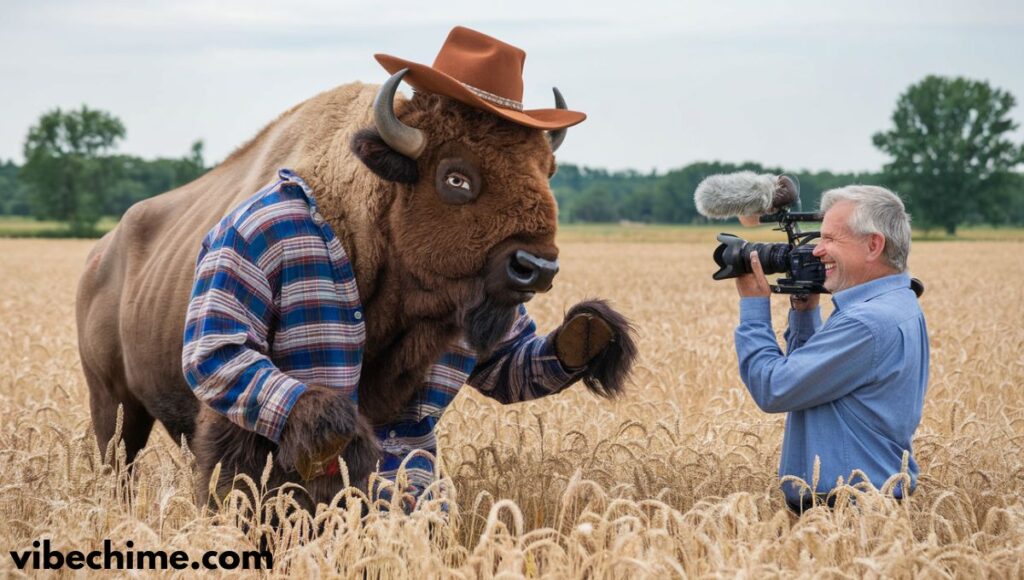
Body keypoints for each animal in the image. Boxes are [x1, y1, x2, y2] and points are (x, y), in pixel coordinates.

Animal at [79, 27, 634, 512]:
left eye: (546, 170)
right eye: (456, 177)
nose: (536, 266)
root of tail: (99, 257)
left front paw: (590, 332)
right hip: (113, 403)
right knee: (118, 463)